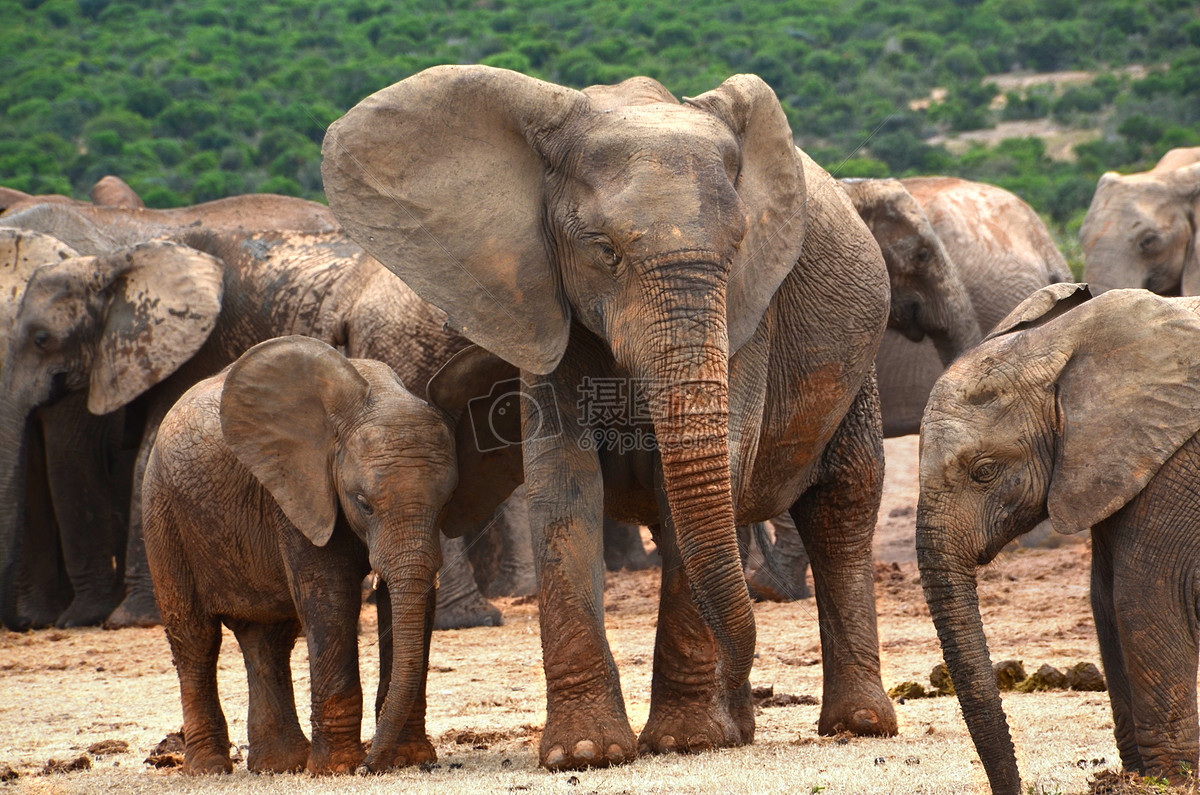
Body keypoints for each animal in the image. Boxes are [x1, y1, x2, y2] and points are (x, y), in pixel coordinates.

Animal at [142, 338, 518, 778]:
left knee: (268, 638)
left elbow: (412, 602)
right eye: (362, 502)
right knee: (195, 637)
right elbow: (330, 597)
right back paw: (209, 769)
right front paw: (338, 769)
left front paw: (408, 759)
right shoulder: (299, 492)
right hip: (161, 510)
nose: (371, 766)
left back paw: (279, 766)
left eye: (447, 501)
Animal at [324, 63, 897, 773]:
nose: (748, 685)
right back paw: (742, 727)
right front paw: (586, 752)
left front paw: (685, 742)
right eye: (604, 251)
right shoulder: (540, 298)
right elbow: (564, 483)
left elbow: (703, 487)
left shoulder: (751, 312)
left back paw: (855, 724)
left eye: (739, 246)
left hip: (859, 367)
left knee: (842, 504)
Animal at [912, 283, 1200, 792]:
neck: (1065, 343)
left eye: (984, 471)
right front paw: (1134, 778)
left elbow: (1147, 594)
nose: (1018, 788)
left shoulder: (1177, 461)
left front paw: (1170, 781)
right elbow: (1105, 599)